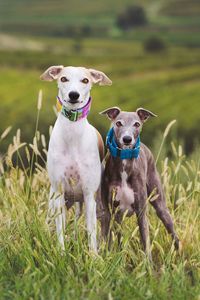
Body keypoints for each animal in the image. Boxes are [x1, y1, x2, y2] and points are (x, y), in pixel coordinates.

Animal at [40, 66, 112, 253]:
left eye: (85, 80)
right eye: (63, 78)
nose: (74, 95)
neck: (72, 134)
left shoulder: (89, 195)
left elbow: (91, 231)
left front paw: (93, 256)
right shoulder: (59, 192)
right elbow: (60, 228)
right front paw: (61, 252)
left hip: (90, 202)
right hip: (56, 201)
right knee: (55, 221)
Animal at [100, 106, 180, 258]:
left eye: (136, 124)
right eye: (118, 123)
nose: (127, 139)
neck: (124, 165)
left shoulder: (141, 211)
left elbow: (146, 242)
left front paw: (147, 264)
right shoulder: (110, 210)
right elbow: (109, 239)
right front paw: (107, 257)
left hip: (159, 203)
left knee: (173, 232)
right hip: (119, 216)